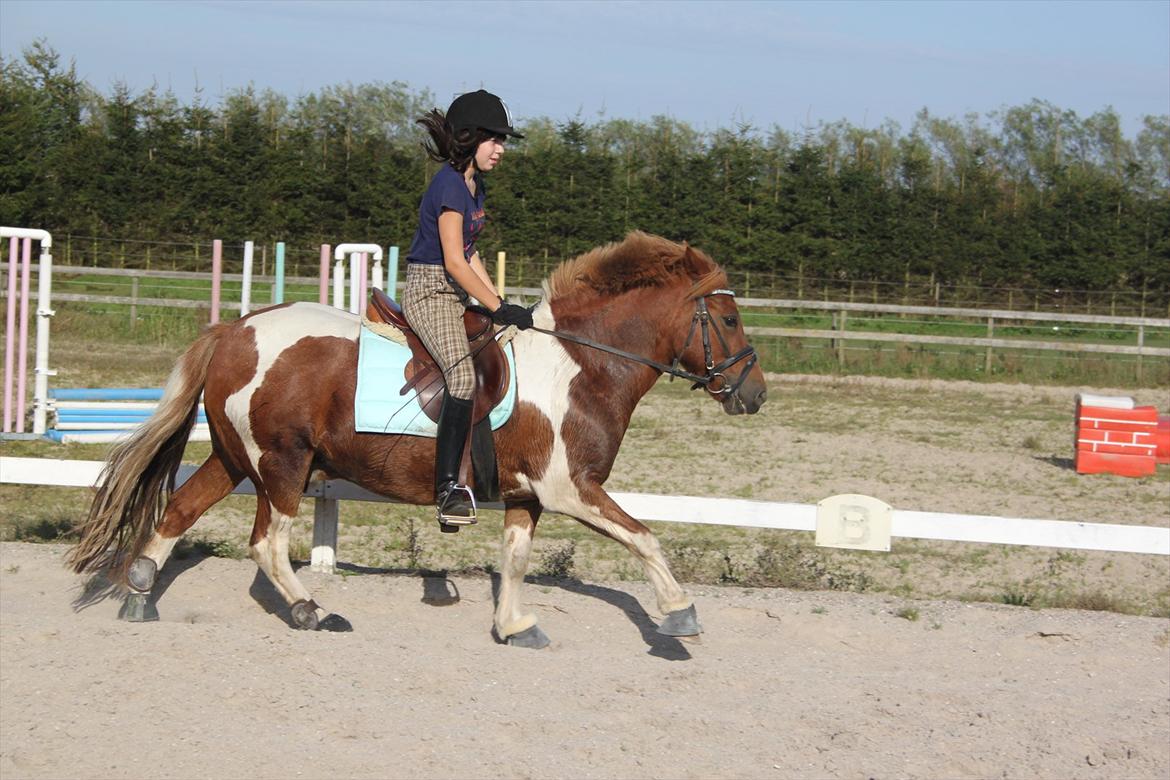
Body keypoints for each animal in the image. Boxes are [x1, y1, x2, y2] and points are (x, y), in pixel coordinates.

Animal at [66, 231, 767, 648]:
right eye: (730, 318)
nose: (755, 394)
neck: (581, 363)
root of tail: (236, 329)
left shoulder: (528, 495)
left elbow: (515, 558)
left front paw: (515, 625)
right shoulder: (570, 487)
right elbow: (644, 536)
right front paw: (680, 613)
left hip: (236, 458)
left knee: (181, 510)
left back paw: (140, 595)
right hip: (283, 463)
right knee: (267, 543)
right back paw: (314, 611)